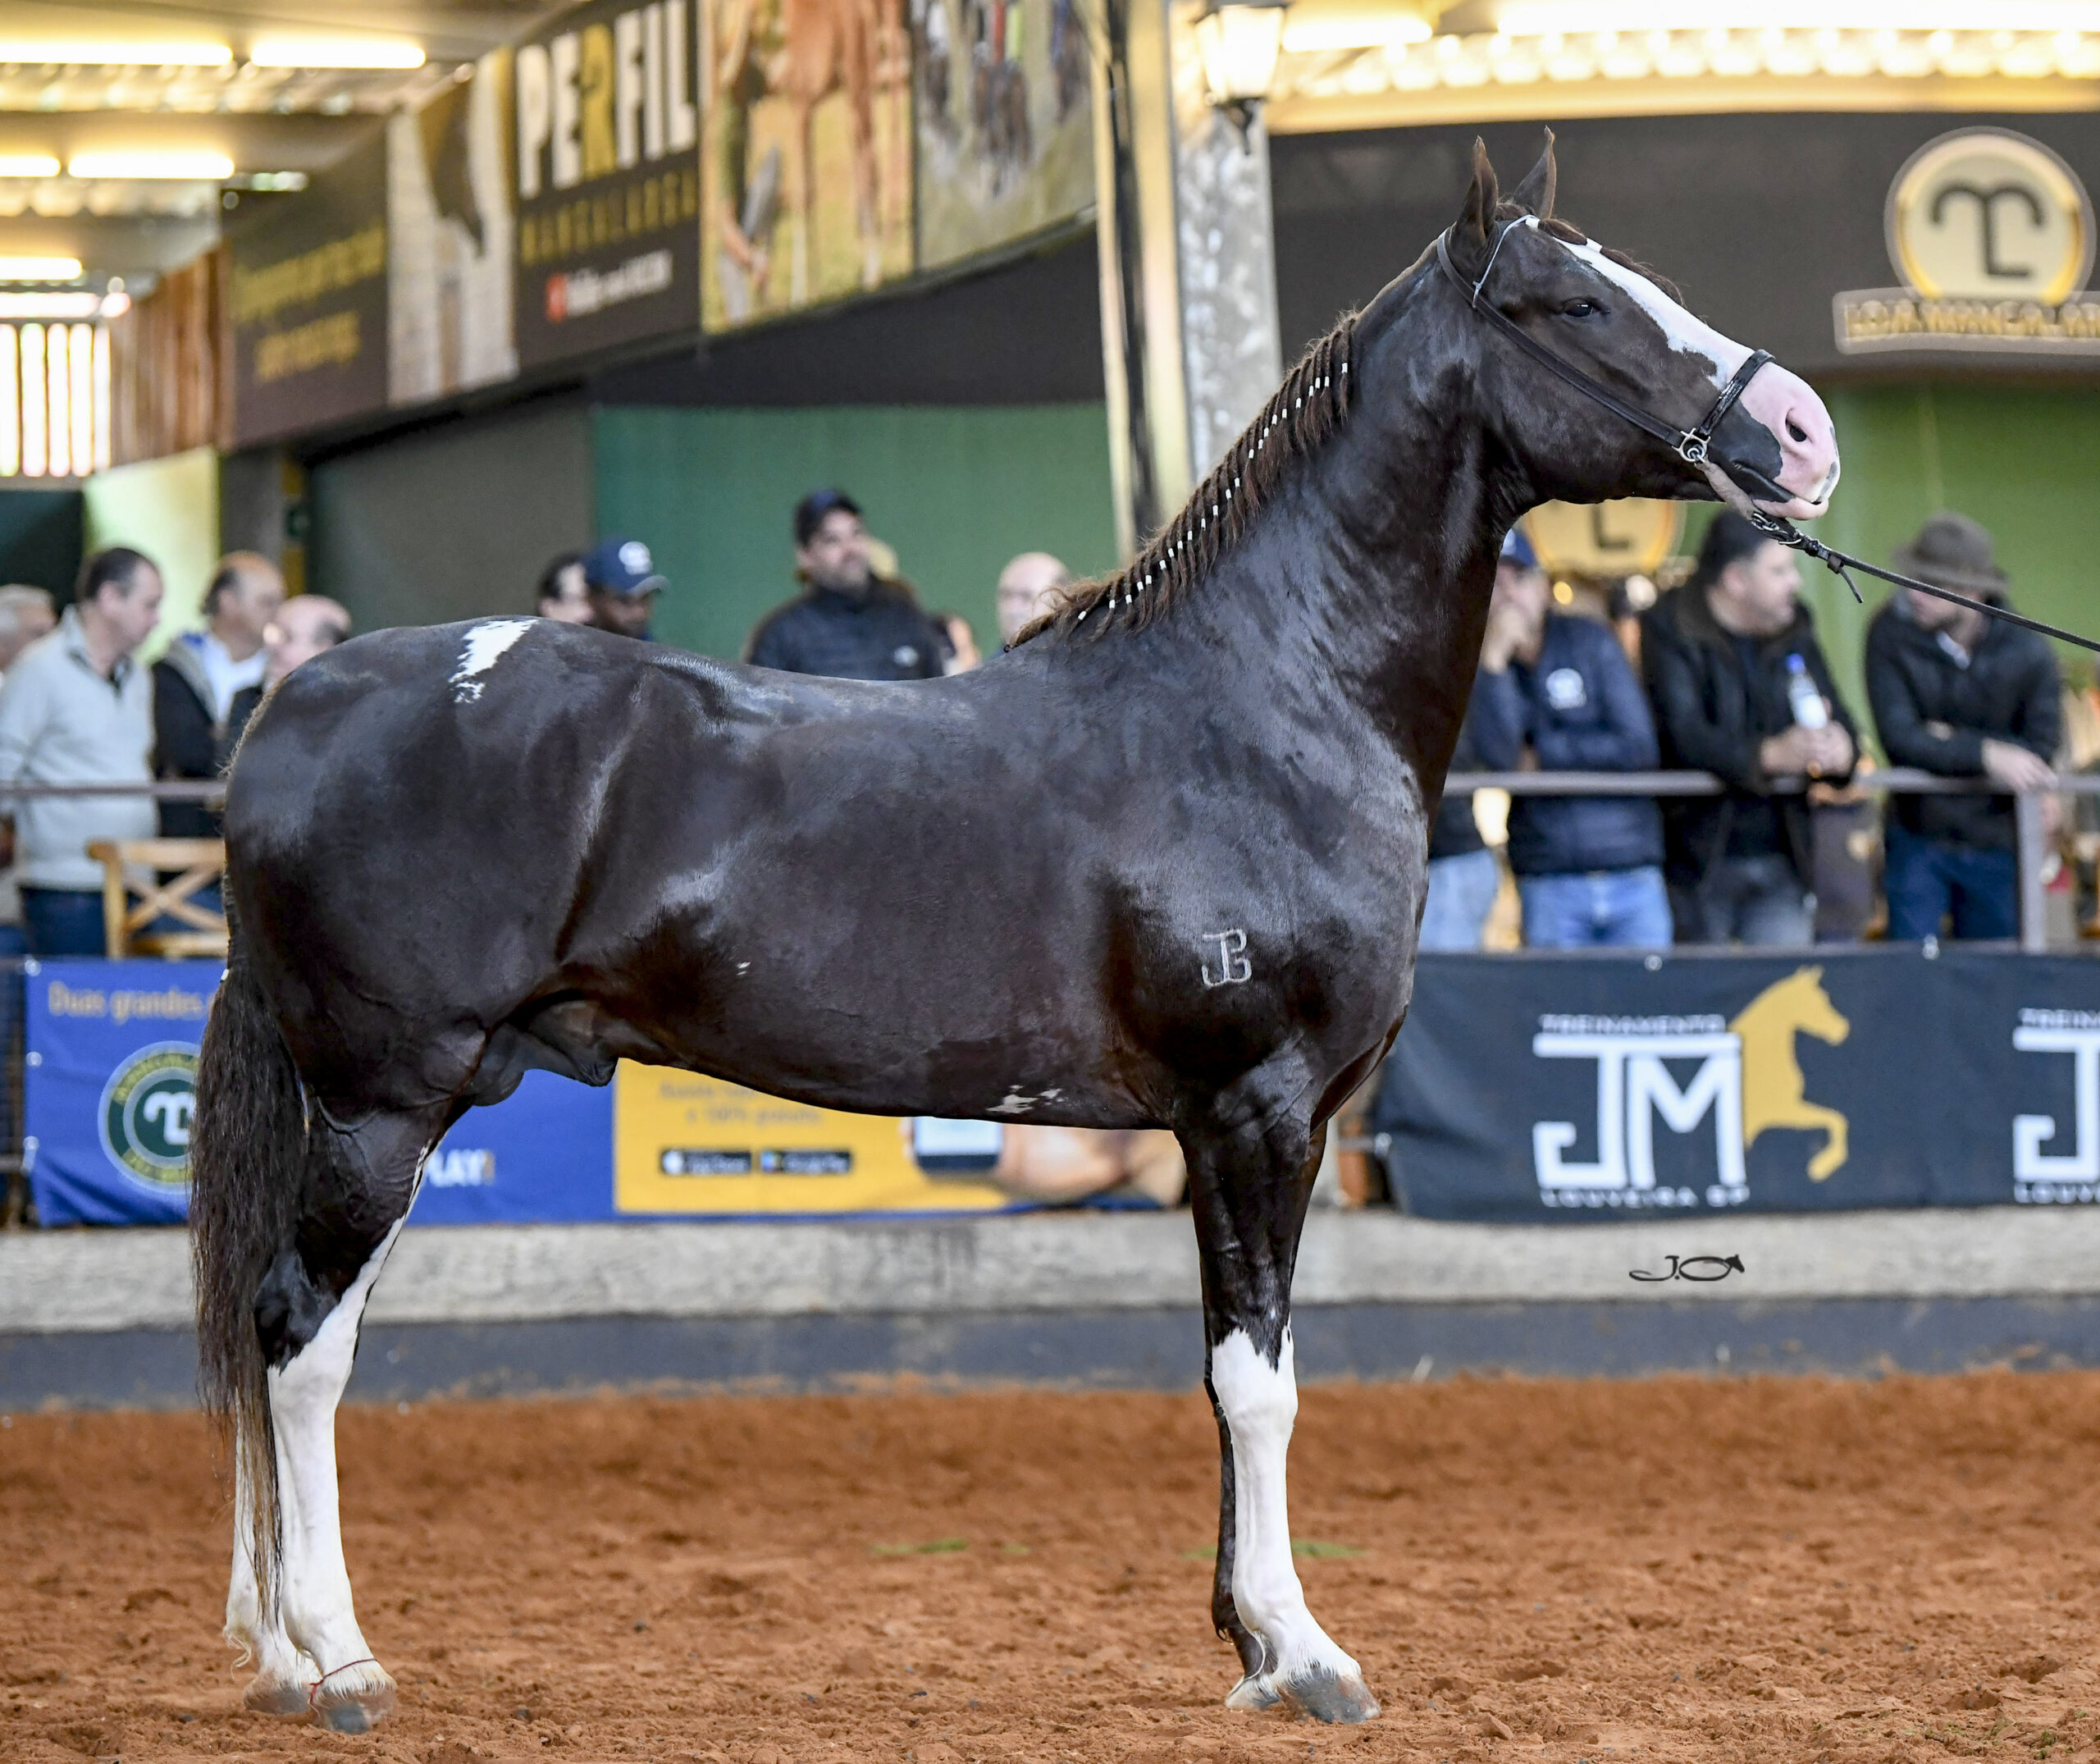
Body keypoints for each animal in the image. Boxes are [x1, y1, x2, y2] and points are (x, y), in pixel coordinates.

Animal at [193, 137, 1839, 1739]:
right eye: (1574, 305)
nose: (1807, 432)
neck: (1266, 706)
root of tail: (293, 704)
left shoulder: (1230, 1127)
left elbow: (1224, 1371)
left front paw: (1249, 1642)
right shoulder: (1259, 1110)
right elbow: (1261, 1382)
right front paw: (1304, 1652)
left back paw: (280, 1656)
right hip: (382, 1102)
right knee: (299, 1337)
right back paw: (337, 1662)